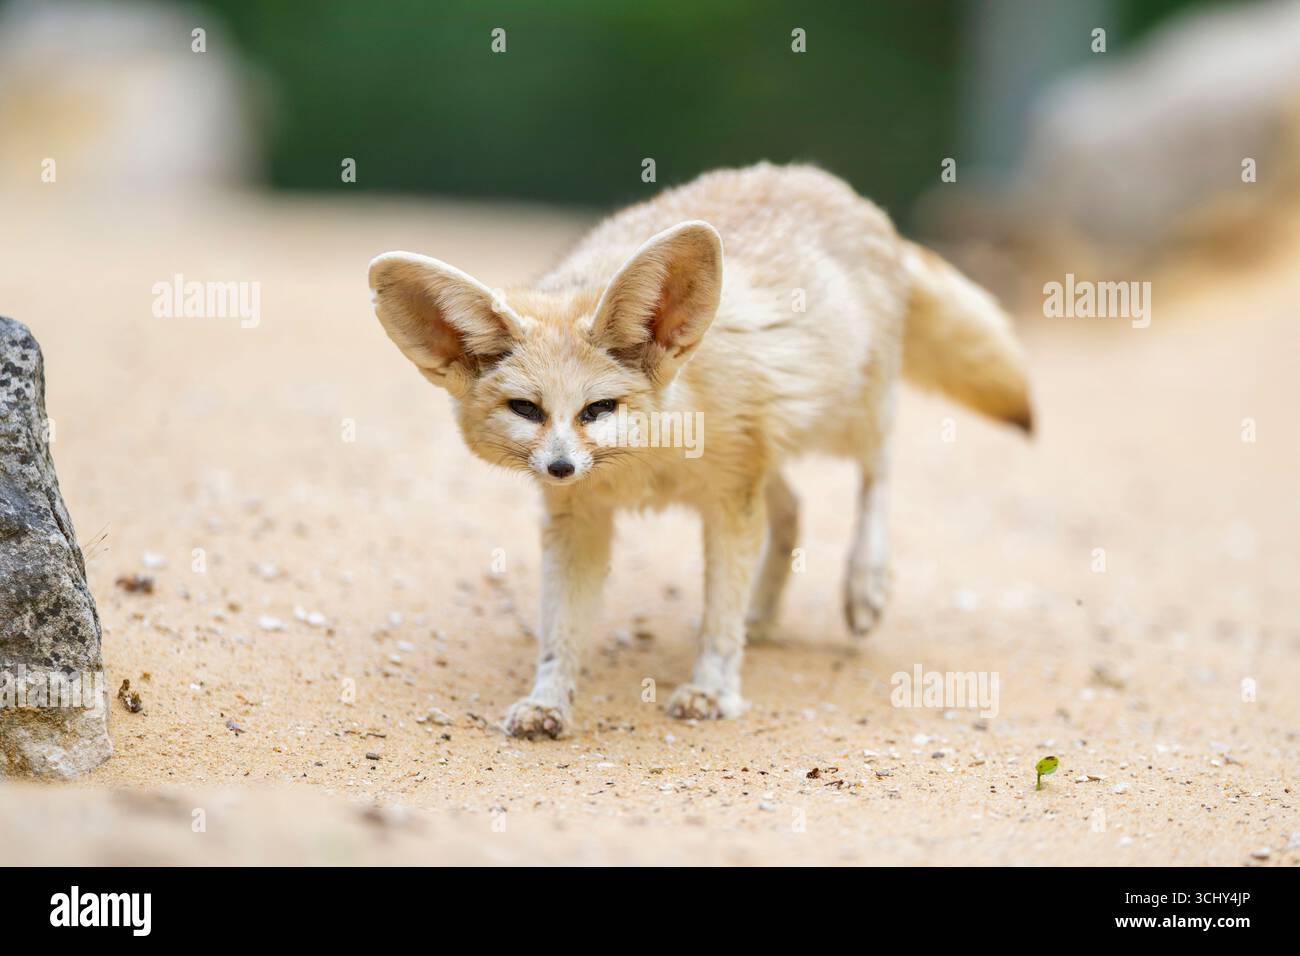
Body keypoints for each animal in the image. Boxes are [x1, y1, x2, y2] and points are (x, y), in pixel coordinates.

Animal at [369, 163, 1031, 739]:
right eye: (526, 410)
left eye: (598, 409)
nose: (560, 467)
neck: (650, 459)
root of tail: (825, 181)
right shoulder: (582, 517)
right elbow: (561, 630)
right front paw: (548, 702)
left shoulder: (729, 498)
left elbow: (718, 611)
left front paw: (712, 689)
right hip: (772, 454)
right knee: (794, 510)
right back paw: (762, 617)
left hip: (848, 416)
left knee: (881, 469)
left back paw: (864, 583)